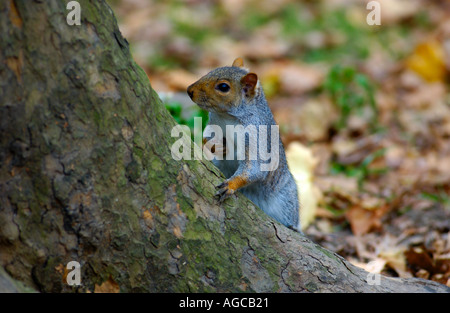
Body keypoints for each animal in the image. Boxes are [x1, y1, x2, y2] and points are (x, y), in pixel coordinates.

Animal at [186, 57, 302, 232]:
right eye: (210, 71)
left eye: (223, 87)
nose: (189, 90)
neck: (227, 117)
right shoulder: (213, 124)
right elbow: (207, 138)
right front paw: (217, 146)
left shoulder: (256, 139)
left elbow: (254, 168)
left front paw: (230, 185)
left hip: (286, 200)